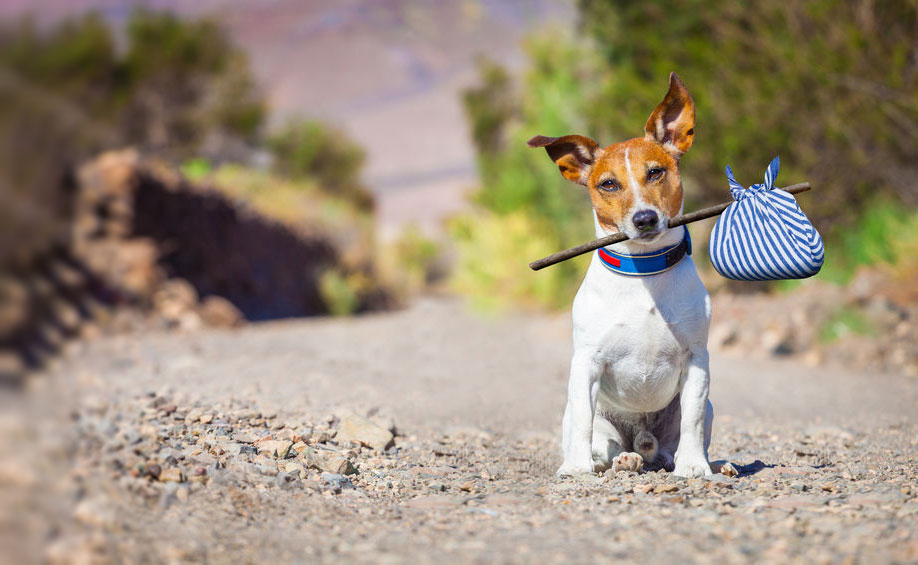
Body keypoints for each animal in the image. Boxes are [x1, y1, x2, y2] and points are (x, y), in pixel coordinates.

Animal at [528, 71, 716, 476]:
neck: (644, 272)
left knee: (672, 444)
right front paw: (576, 468)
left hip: (698, 411)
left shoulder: (697, 360)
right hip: (591, 420)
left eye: (656, 172)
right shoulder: (586, 364)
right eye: (609, 184)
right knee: (604, 445)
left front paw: (695, 466)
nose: (644, 219)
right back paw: (621, 460)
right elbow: (583, 421)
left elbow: (692, 418)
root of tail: (643, 441)